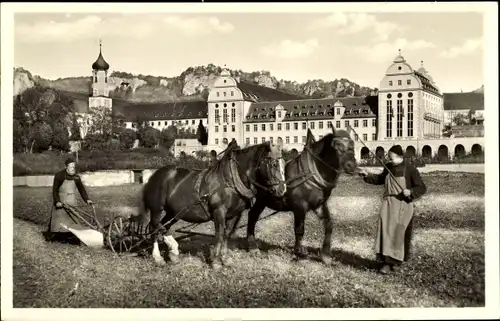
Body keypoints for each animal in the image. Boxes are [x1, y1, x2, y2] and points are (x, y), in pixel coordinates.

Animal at [137, 140, 288, 268]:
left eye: (284, 163)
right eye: (274, 164)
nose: (282, 189)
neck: (230, 180)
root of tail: (153, 175)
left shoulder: (235, 214)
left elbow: (226, 234)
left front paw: (225, 259)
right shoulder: (219, 211)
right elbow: (219, 234)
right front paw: (215, 261)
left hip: (174, 212)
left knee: (164, 226)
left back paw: (173, 252)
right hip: (157, 208)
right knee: (155, 226)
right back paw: (158, 257)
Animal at [243, 127, 358, 264]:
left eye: (352, 143)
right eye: (337, 144)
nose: (351, 165)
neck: (311, 174)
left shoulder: (319, 205)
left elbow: (329, 224)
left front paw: (325, 255)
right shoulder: (299, 207)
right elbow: (299, 230)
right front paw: (299, 252)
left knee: (252, 215)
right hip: (261, 200)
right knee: (252, 216)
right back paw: (252, 245)